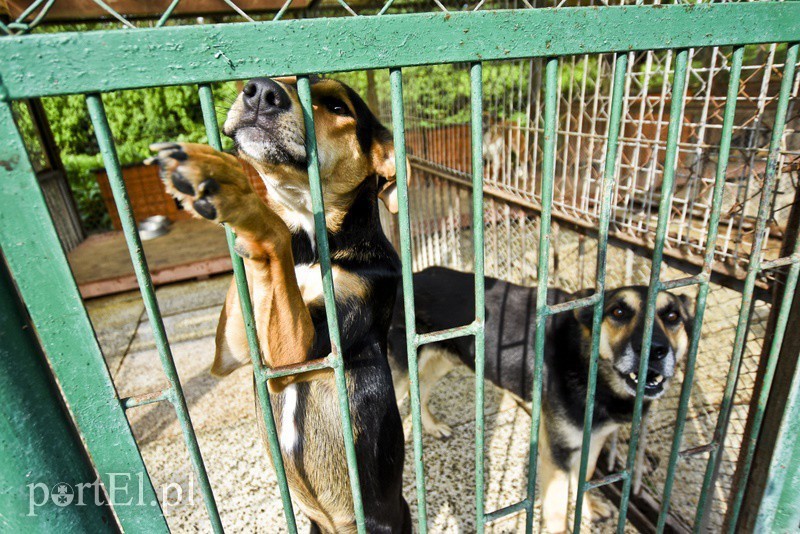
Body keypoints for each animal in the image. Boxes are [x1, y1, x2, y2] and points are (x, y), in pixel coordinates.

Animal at [148, 77, 412, 532]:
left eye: (338, 107)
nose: (260, 92)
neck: (310, 246)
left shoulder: (304, 350)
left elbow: (270, 228)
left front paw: (227, 184)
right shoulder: (234, 349)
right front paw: (213, 170)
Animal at [384, 266, 692, 532]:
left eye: (672, 316)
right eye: (618, 312)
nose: (654, 350)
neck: (586, 360)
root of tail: (411, 276)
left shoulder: (594, 439)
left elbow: (585, 476)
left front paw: (588, 506)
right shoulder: (555, 452)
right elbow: (556, 508)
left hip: (444, 358)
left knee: (421, 389)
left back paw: (432, 426)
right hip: (399, 372)